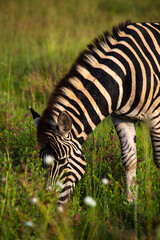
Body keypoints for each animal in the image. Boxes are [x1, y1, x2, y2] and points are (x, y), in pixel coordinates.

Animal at [30, 20, 160, 205]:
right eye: (42, 161)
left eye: (62, 161)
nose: (48, 202)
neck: (124, 76)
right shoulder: (121, 117)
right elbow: (129, 159)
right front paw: (131, 202)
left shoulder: (156, 116)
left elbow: (158, 159)